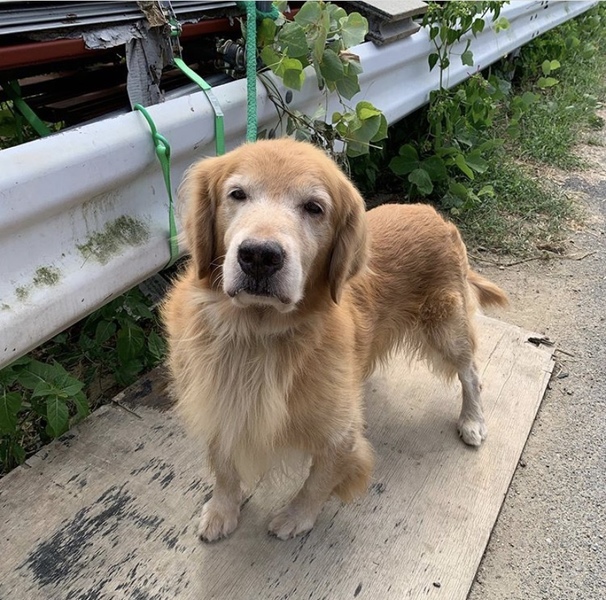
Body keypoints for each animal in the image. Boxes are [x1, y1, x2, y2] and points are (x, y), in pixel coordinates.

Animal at [161, 138, 507, 542]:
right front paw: (222, 511)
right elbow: (224, 466)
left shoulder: (341, 436)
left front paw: (295, 517)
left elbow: (318, 481)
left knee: (471, 375)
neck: (256, 334)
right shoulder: (218, 403)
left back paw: (472, 421)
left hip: (448, 330)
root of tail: (435, 215)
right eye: (237, 194)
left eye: (314, 207)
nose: (259, 255)